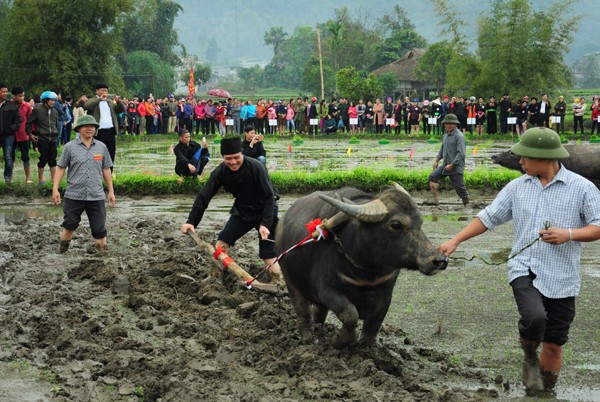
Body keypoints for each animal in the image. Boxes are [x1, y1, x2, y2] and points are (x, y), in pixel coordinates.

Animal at [274, 184, 448, 348]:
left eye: (420, 222)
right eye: (396, 225)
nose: (440, 260)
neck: (368, 272)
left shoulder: (386, 293)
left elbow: (376, 320)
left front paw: (366, 345)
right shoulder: (324, 290)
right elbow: (350, 315)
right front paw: (338, 340)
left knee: (320, 311)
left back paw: (319, 327)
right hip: (290, 280)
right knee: (302, 308)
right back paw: (308, 335)